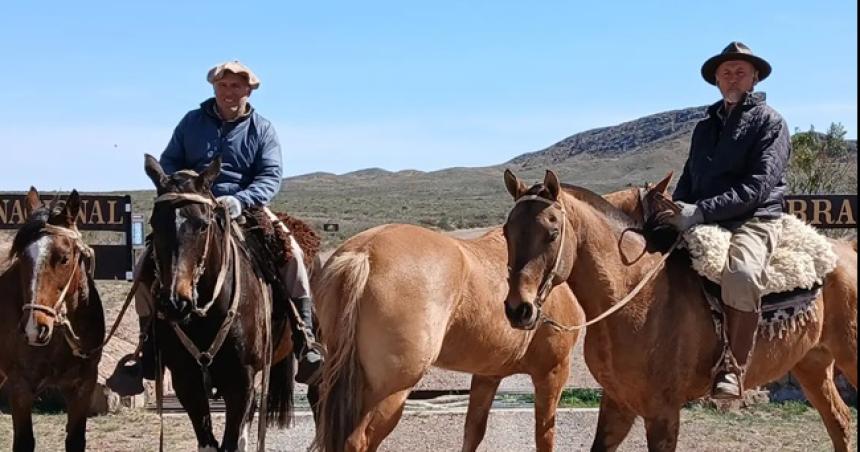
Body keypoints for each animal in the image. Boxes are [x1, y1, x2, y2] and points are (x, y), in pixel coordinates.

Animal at [0, 187, 106, 452]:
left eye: (64, 258)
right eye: (22, 258)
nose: (33, 328)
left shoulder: (83, 386)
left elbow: (75, 440)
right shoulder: (20, 387)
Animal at [142, 154, 302, 450]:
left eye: (203, 224)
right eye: (155, 223)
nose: (175, 301)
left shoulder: (241, 382)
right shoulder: (187, 382)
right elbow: (208, 442)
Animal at [310, 181, 664, 452]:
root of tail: (363, 253)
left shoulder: (487, 375)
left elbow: (473, 433)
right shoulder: (552, 373)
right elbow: (544, 437)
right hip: (390, 392)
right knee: (358, 442)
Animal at [500, 170, 856, 452]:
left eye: (552, 233)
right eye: (506, 232)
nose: (519, 309)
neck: (633, 295)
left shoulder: (662, 413)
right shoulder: (617, 402)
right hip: (812, 364)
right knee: (839, 421)